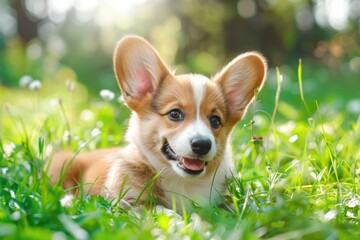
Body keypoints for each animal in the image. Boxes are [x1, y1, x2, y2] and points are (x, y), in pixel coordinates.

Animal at [47, 35, 266, 212]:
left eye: (215, 120)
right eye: (175, 114)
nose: (203, 145)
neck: (181, 181)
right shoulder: (130, 201)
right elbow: (161, 210)